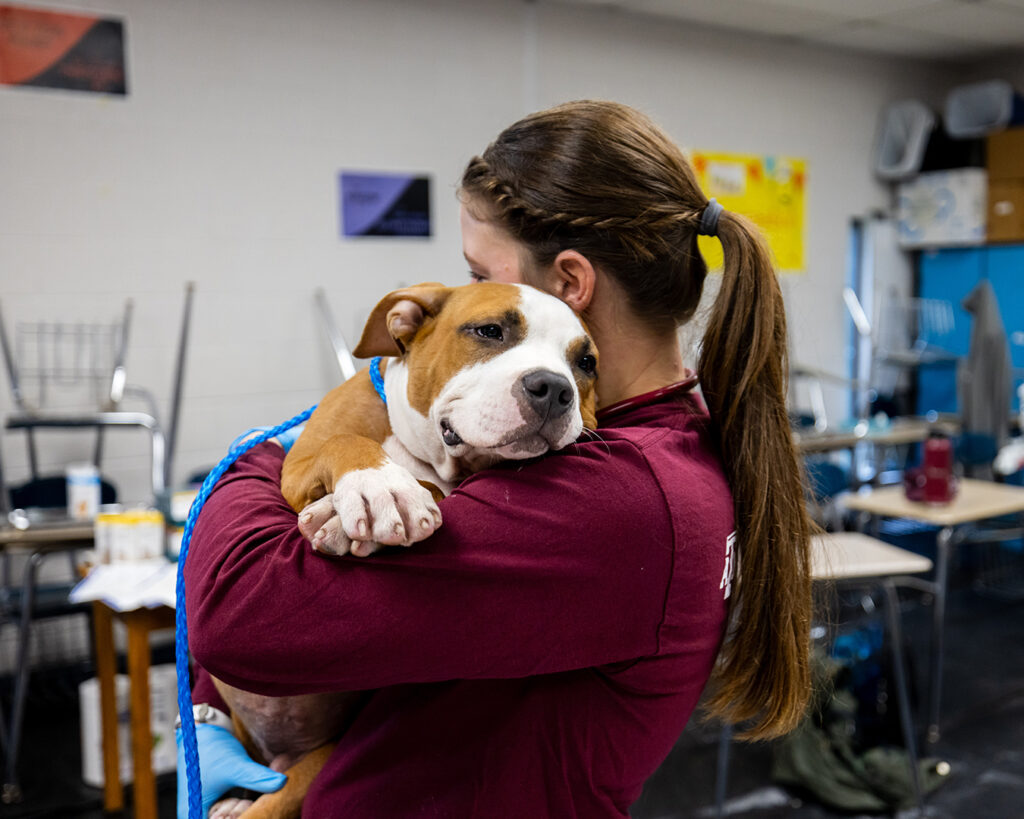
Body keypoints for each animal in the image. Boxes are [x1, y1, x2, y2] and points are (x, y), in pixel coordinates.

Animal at [211, 278, 598, 814]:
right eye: (489, 331)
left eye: (587, 363)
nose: (555, 389)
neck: (424, 449)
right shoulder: (299, 463)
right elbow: (344, 443)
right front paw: (378, 485)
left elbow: (432, 489)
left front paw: (363, 504)